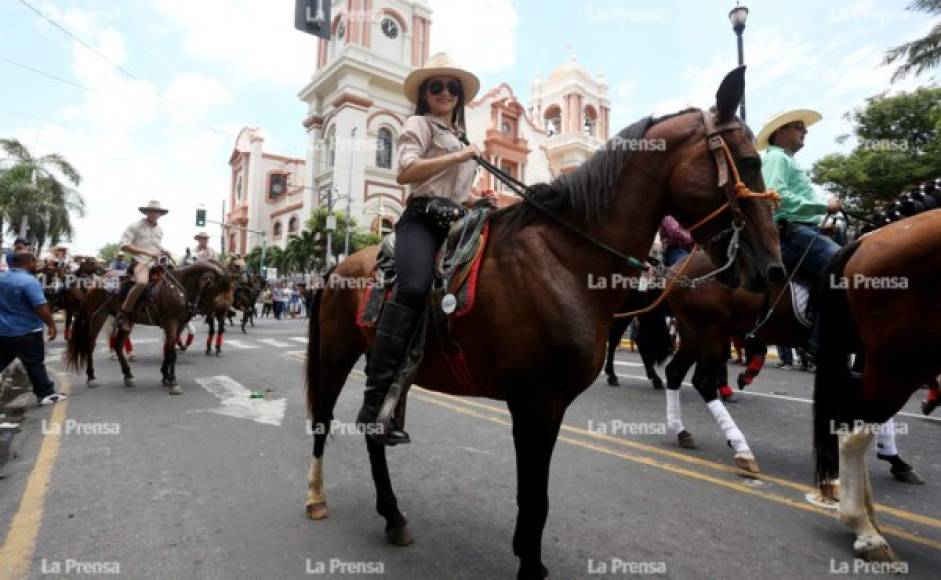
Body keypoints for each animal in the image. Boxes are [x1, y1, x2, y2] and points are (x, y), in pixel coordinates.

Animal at [66, 262, 231, 394]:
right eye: (217, 287)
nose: (221, 312)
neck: (178, 288)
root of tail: (98, 281)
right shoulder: (171, 324)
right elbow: (172, 352)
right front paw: (173, 381)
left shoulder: (179, 325)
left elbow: (169, 349)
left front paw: (165, 376)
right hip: (97, 318)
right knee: (90, 345)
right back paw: (91, 377)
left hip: (127, 323)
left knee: (118, 345)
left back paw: (128, 375)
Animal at [304, 69, 784, 580]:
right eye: (751, 161)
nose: (771, 269)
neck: (566, 259)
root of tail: (335, 267)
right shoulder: (534, 401)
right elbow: (533, 496)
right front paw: (529, 566)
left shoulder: (551, 405)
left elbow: (538, 496)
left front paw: (527, 554)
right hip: (335, 355)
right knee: (324, 421)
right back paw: (316, 497)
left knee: (374, 431)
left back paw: (393, 516)